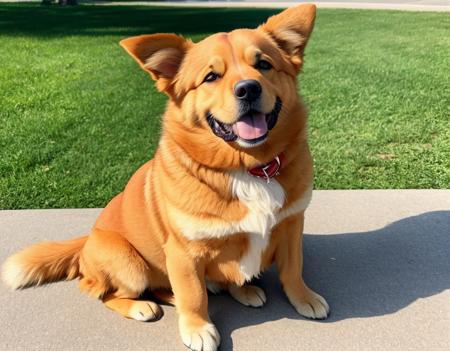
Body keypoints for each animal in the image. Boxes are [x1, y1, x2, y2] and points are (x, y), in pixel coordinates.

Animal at [1, 5, 328, 351]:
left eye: (264, 64)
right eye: (211, 76)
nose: (249, 88)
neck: (248, 167)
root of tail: (86, 241)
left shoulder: (291, 225)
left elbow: (293, 269)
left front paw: (303, 297)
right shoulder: (183, 253)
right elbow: (194, 296)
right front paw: (197, 327)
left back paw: (231, 291)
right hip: (128, 264)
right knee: (100, 292)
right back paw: (142, 305)